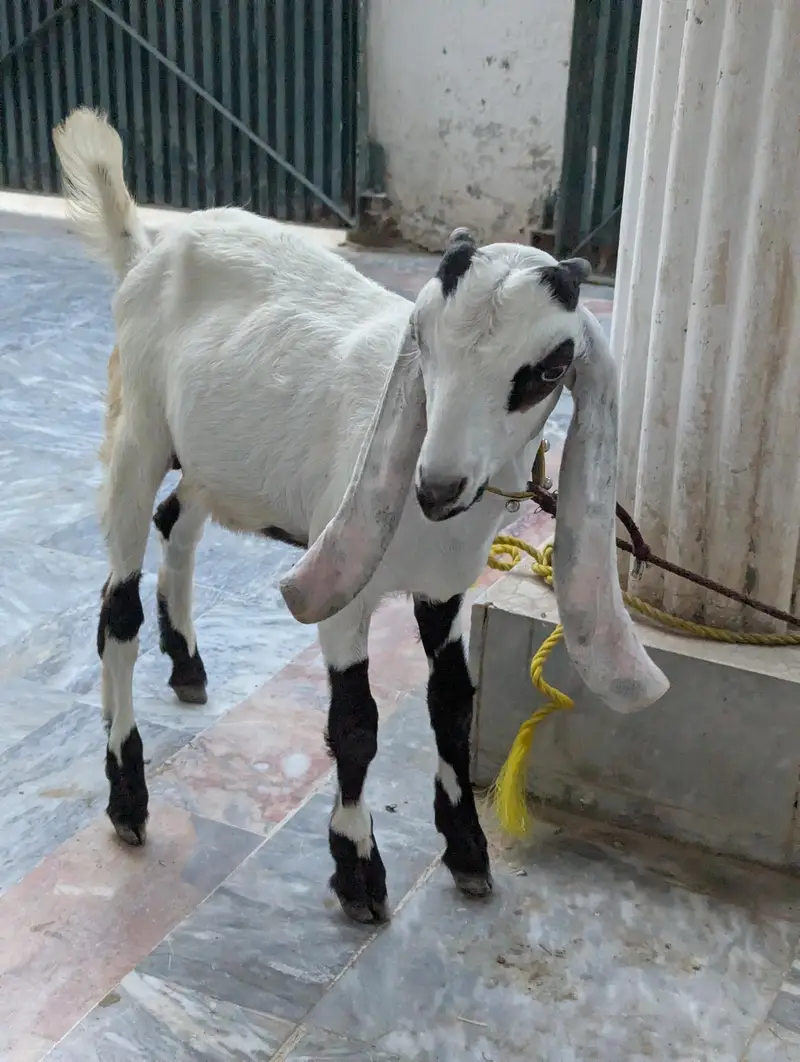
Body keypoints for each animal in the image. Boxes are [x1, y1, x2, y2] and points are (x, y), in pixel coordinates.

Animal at [53, 108, 668, 925]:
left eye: (547, 370)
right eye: (425, 343)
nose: (438, 486)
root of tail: (149, 248)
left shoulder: (447, 587)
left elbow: (450, 707)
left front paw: (468, 853)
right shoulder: (343, 590)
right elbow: (357, 724)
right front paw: (358, 871)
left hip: (214, 460)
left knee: (174, 523)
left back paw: (186, 663)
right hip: (138, 429)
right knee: (115, 608)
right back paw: (127, 797)